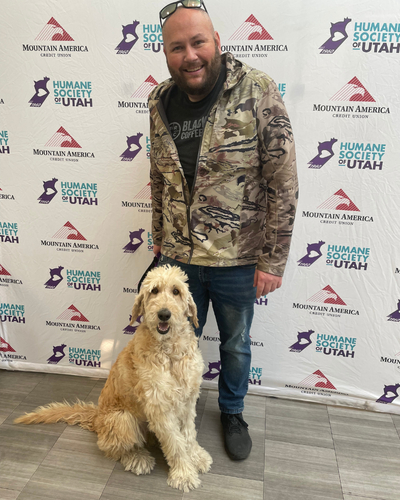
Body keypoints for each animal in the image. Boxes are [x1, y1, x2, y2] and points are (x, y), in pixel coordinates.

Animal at [14, 266, 212, 492]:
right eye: (154, 291)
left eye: (176, 291)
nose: (164, 314)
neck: (170, 350)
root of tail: (97, 418)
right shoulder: (159, 406)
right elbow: (175, 442)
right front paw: (184, 474)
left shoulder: (188, 400)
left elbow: (188, 433)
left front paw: (196, 457)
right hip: (122, 419)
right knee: (114, 447)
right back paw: (137, 457)